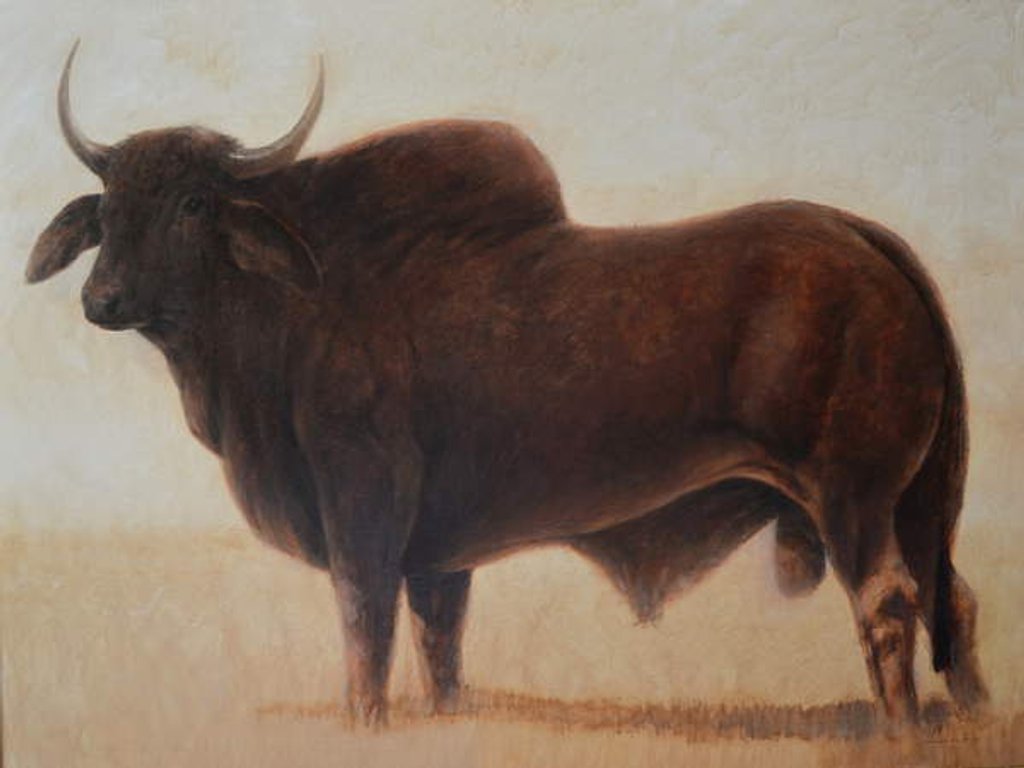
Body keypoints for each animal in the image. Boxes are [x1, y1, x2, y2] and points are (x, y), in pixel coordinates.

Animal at [28, 43, 988, 729]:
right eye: (106, 207)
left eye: (192, 203)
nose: (101, 299)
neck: (311, 293)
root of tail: (865, 239)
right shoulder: (439, 553)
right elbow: (439, 643)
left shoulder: (363, 516)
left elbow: (366, 628)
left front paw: (364, 722)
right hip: (913, 503)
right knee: (955, 600)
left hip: (853, 500)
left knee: (888, 605)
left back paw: (899, 731)